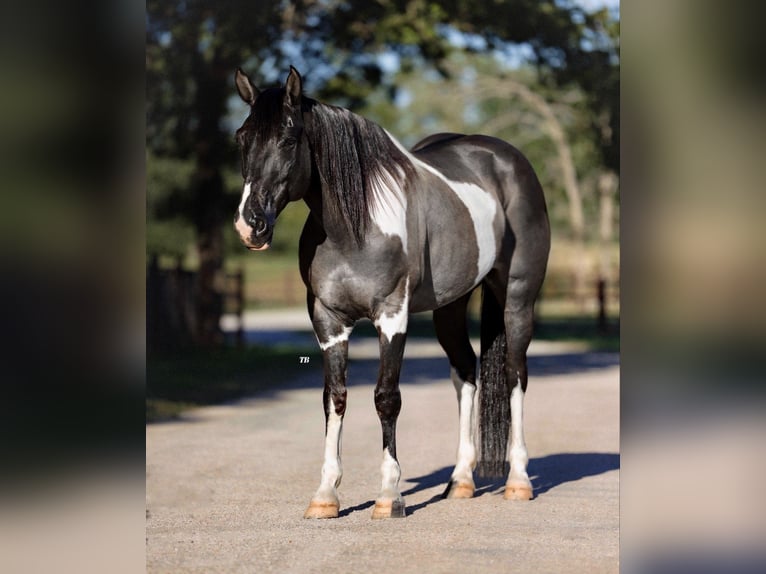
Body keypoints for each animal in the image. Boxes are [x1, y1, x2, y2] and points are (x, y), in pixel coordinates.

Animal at [234, 65, 552, 520]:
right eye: (241, 137)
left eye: (289, 138)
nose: (251, 225)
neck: (354, 225)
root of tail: (507, 160)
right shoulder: (328, 322)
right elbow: (334, 398)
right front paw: (325, 495)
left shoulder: (391, 316)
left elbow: (387, 398)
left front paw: (389, 495)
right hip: (449, 308)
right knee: (465, 373)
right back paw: (460, 481)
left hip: (518, 298)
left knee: (515, 375)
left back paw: (518, 482)